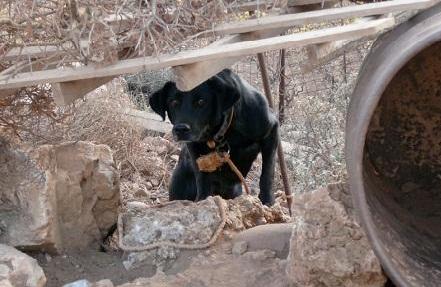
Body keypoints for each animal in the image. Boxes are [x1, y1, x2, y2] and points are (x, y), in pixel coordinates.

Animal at [150, 69, 276, 206]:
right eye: (174, 102)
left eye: (201, 102)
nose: (181, 129)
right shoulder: (194, 146)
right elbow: (202, 177)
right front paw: (203, 201)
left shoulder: (272, 130)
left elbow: (267, 173)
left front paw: (267, 201)